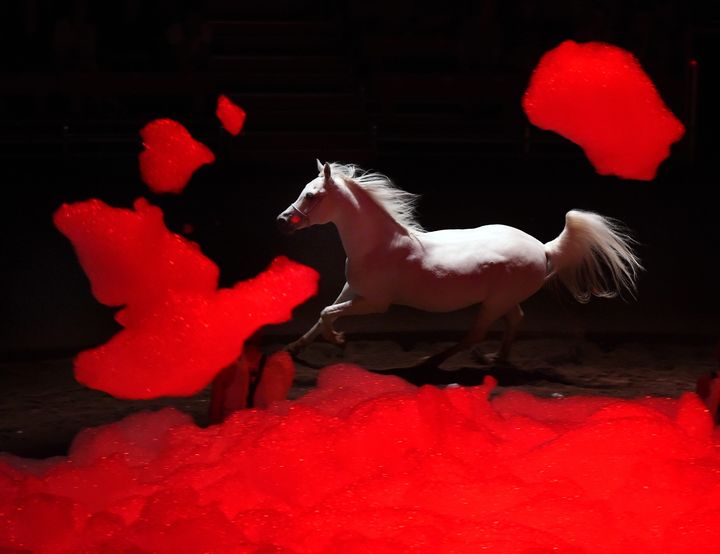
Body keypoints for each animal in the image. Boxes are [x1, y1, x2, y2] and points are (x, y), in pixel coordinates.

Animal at [278, 161, 640, 366]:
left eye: (312, 195)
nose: (283, 221)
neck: (379, 246)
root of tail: (544, 248)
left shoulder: (375, 303)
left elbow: (327, 314)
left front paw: (339, 340)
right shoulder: (351, 290)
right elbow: (321, 315)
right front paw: (293, 348)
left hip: (494, 302)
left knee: (475, 335)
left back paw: (430, 360)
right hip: (503, 300)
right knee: (515, 320)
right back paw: (496, 359)